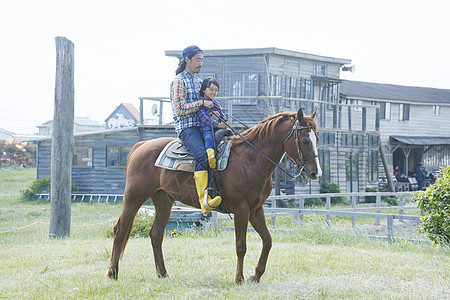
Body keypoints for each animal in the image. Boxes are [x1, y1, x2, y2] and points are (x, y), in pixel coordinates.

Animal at [107, 108, 322, 284]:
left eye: (317, 139)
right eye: (304, 140)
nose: (315, 173)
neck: (251, 159)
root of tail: (140, 145)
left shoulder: (256, 209)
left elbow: (267, 240)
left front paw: (255, 275)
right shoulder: (242, 210)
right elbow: (241, 245)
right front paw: (239, 278)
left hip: (163, 200)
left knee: (156, 234)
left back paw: (163, 274)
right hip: (134, 197)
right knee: (120, 230)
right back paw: (113, 273)